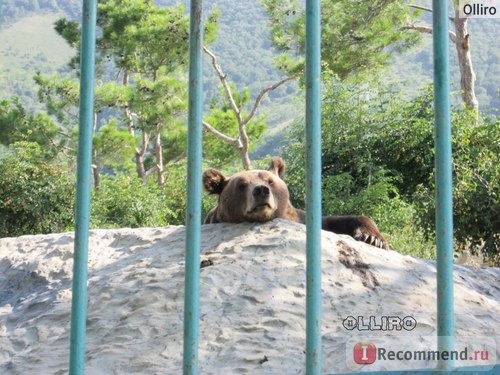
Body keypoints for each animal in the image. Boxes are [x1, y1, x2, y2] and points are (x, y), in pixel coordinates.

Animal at [203, 156, 390, 250]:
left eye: (270, 180)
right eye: (241, 185)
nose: (261, 190)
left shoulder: (302, 218)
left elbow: (337, 220)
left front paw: (373, 238)